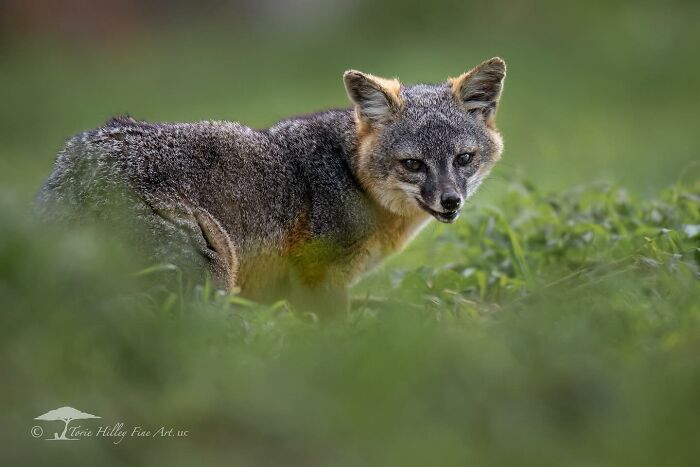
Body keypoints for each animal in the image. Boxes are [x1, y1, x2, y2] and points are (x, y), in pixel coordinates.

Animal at [36, 57, 506, 314]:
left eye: (464, 158)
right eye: (412, 164)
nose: (450, 201)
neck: (349, 171)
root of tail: (71, 180)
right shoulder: (319, 279)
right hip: (216, 264)